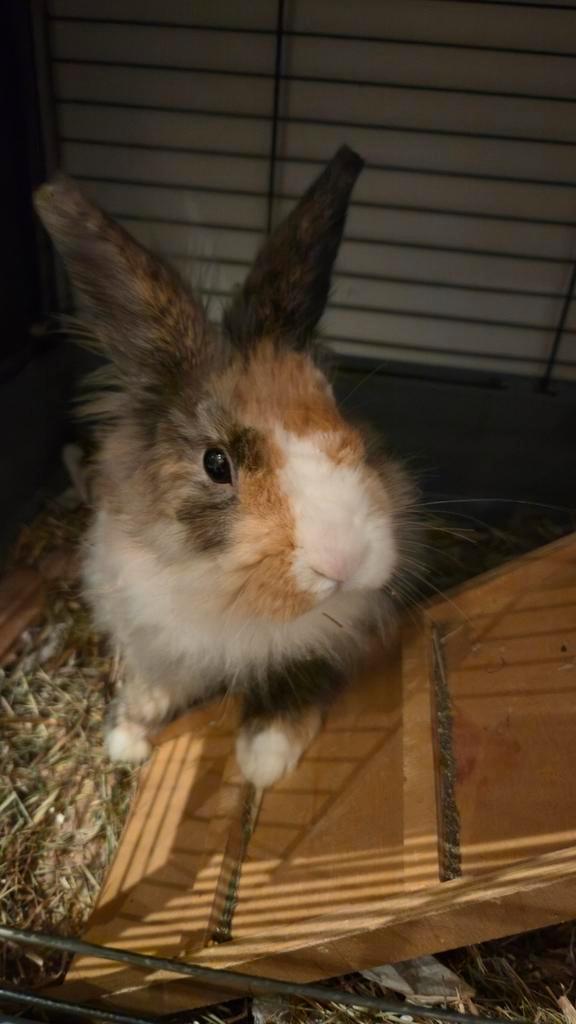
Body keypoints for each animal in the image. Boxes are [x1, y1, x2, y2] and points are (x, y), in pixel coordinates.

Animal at [34, 146, 418, 788]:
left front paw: (265, 756)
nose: (343, 561)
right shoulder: (153, 635)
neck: (224, 595)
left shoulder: (325, 639)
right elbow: (154, 685)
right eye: (217, 463)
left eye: (340, 414)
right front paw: (127, 738)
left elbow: (296, 680)